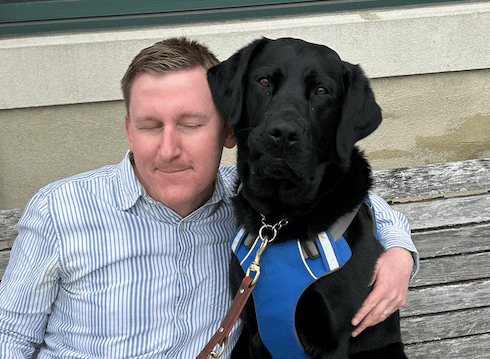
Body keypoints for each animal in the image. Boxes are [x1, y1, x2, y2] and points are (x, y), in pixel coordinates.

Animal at [206, 38, 406, 358]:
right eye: (263, 81)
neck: (278, 223)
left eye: (321, 91)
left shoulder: (332, 340)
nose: (283, 133)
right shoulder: (254, 328)